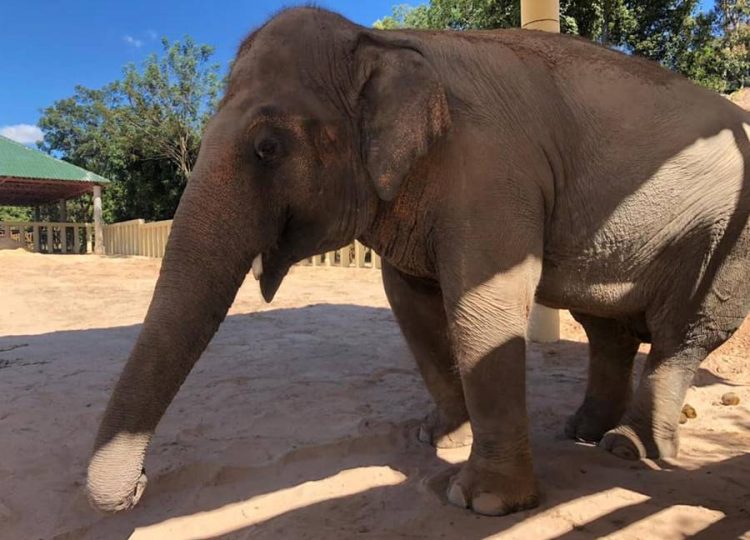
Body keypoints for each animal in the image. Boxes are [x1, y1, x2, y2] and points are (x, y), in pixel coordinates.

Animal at [85, 6, 750, 516]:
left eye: (267, 147)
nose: (140, 488)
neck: (382, 41)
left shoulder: (491, 174)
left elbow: (485, 304)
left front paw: (483, 502)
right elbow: (410, 301)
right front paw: (441, 439)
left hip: (726, 236)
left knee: (682, 333)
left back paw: (625, 449)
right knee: (607, 329)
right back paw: (581, 433)